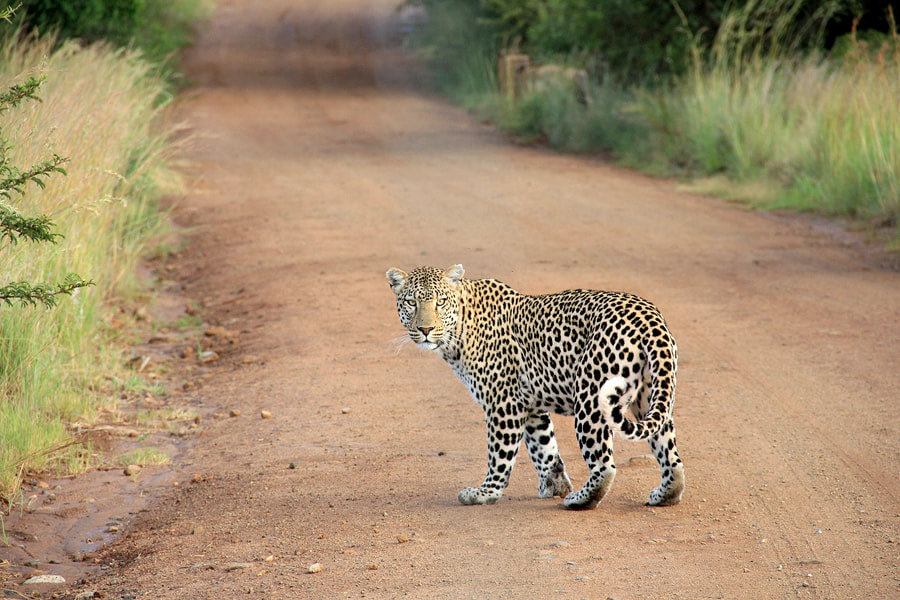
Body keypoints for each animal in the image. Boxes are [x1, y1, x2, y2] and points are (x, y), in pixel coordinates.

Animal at [384, 264, 684, 508]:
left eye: (441, 302)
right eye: (411, 302)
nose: (425, 329)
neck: (458, 332)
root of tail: (650, 318)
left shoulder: (503, 403)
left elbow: (499, 454)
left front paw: (485, 493)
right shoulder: (530, 406)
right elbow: (544, 448)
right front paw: (554, 485)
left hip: (591, 398)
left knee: (604, 465)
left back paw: (580, 499)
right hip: (651, 396)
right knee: (670, 455)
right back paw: (665, 494)